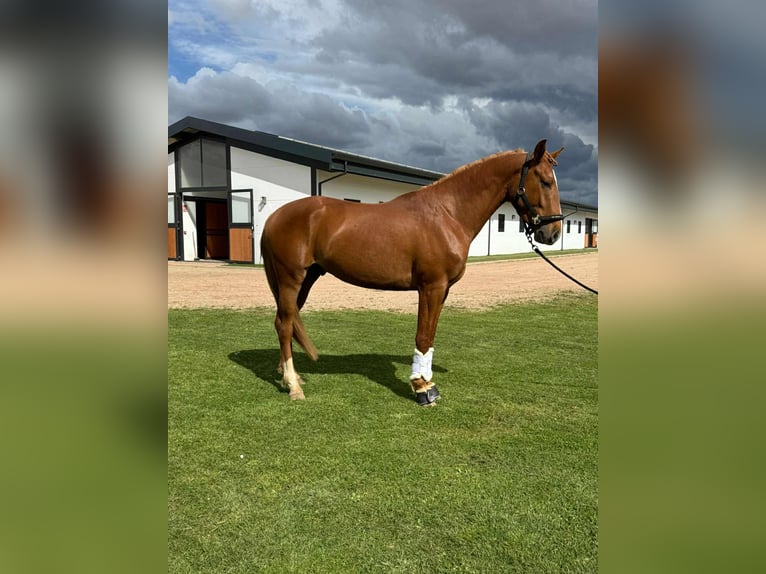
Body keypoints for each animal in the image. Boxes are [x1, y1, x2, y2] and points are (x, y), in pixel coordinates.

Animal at [261, 139, 564, 405]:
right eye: (545, 181)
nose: (552, 233)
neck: (447, 213)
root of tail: (275, 216)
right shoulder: (431, 287)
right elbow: (423, 336)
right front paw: (422, 389)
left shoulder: (443, 290)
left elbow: (430, 335)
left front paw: (427, 382)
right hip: (291, 279)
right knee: (285, 324)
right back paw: (294, 386)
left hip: (306, 279)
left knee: (285, 320)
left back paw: (290, 375)